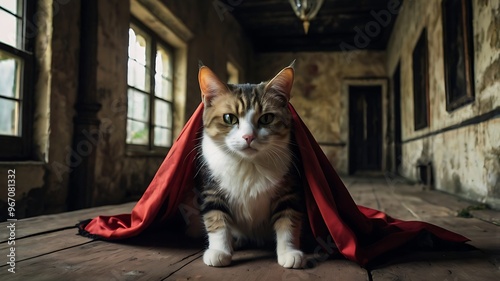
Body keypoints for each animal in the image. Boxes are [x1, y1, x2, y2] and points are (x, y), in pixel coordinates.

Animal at [194, 62, 304, 268]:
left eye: (266, 118)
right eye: (229, 118)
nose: (248, 137)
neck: (248, 163)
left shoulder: (288, 190)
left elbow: (288, 220)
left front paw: (289, 252)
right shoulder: (212, 188)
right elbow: (216, 218)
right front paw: (219, 251)